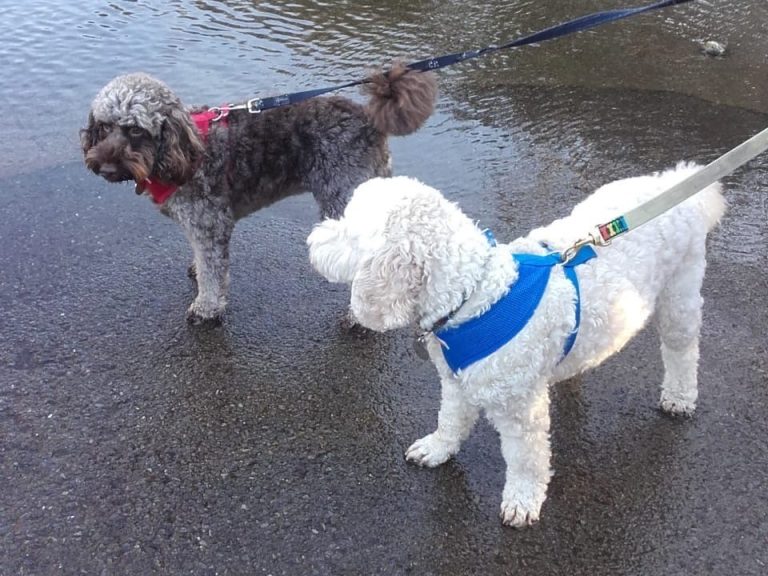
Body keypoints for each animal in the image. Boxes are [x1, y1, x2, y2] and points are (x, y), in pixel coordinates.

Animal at [306, 166, 728, 528]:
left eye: (347, 230)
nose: (312, 240)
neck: (475, 294)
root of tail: (675, 182)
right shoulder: (456, 382)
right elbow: (450, 420)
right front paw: (438, 449)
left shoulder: (520, 411)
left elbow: (526, 461)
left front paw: (523, 501)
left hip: (680, 295)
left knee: (682, 350)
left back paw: (679, 396)